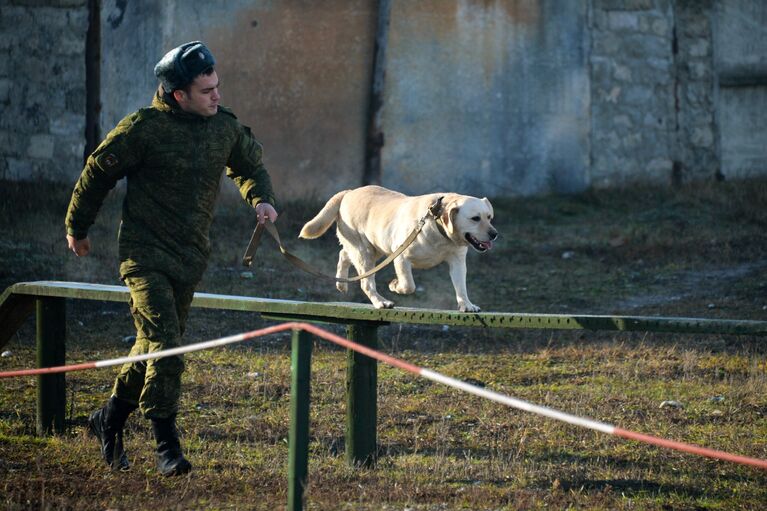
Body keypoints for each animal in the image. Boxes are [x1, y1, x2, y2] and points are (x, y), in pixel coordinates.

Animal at [300, 185, 498, 312]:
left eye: (489, 217)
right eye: (475, 218)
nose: (494, 234)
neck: (438, 225)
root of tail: (348, 193)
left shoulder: (457, 262)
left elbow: (461, 286)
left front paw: (467, 305)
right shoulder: (401, 257)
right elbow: (409, 285)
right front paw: (395, 285)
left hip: (374, 249)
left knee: (343, 254)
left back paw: (341, 284)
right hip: (365, 252)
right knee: (366, 282)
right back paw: (381, 302)